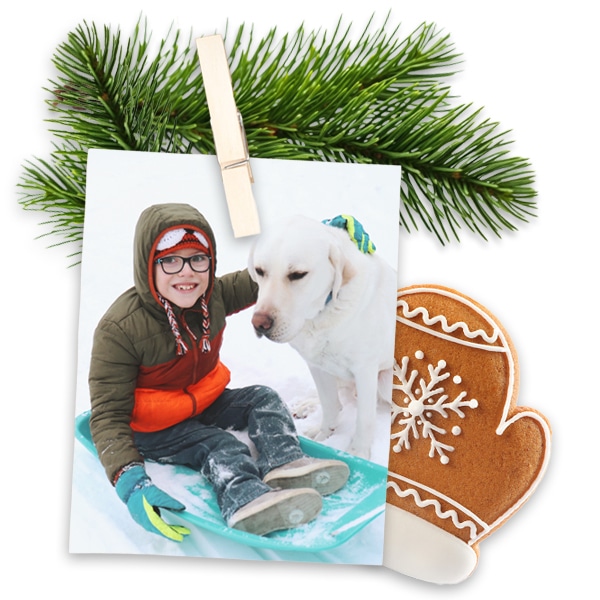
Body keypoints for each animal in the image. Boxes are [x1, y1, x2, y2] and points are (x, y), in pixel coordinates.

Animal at [248, 216, 398, 460]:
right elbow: (329, 404)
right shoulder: (316, 364)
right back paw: (305, 405)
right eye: (260, 271)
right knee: (340, 398)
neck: (320, 316)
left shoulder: (366, 369)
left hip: (386, 380)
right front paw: (324, 434)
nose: (259, 323)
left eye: (297, 274)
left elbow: (365, 418)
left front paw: (358, 452)